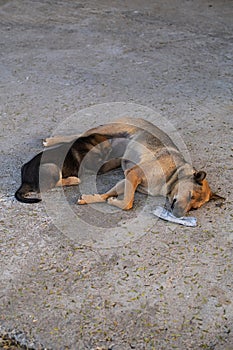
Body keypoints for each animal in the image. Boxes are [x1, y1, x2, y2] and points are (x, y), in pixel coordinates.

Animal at [15, 117, 223, 216]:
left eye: (194, 208)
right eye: (190, 195)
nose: (179, 216)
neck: (173, 174)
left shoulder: (128, 179)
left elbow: (110, 196)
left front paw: (91, 199)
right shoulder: (133, 174)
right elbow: (127, 203)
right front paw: (114, 202)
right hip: (106, 129)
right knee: (77, 135)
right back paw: (52, 140)